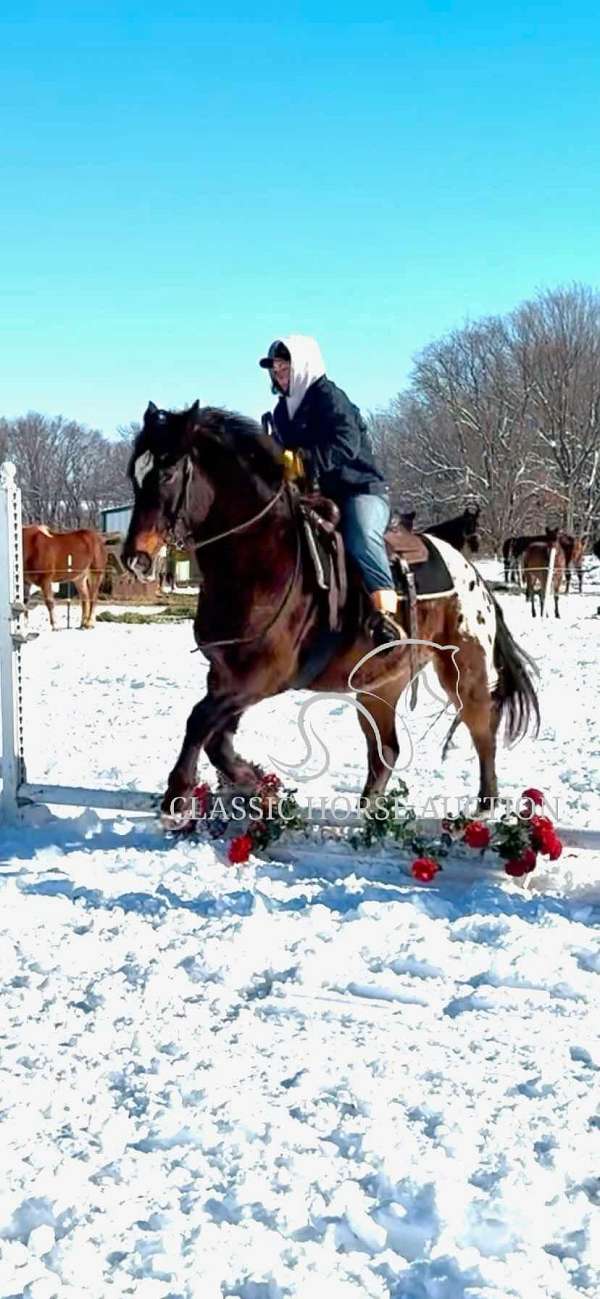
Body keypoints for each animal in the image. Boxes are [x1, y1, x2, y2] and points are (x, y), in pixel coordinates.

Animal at [122, 400, 540, 815]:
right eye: (134, 475)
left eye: (167, 472)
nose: (135, 559)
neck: (259, 557)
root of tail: (472, 575)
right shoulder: (226, 677)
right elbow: (215, 737)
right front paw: (252, 782)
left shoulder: (261, 678)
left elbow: (199, 721)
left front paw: (179, 793)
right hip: (379, 687)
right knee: (386, 749)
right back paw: (369, 810)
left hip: (462, 669)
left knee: (482, 728)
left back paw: (485, 805)